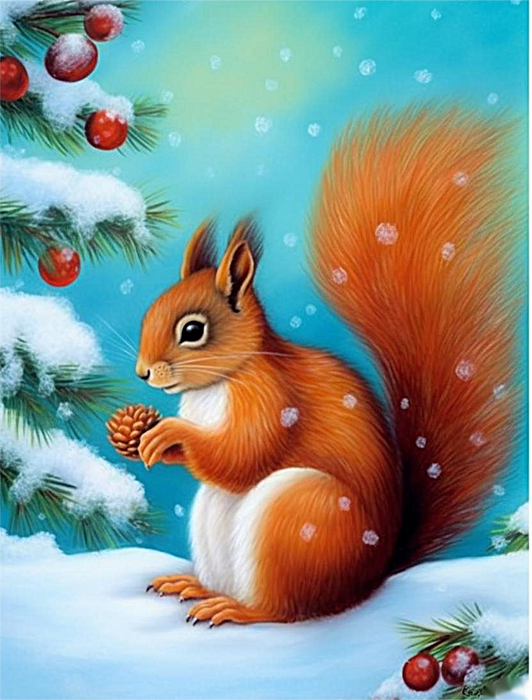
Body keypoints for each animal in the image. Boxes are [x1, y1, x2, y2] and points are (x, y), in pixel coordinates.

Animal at [135, 105, 520, 626]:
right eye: (150, 310)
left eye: (192, 330)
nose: (143, 372)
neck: (220, 382)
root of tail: (368, 580)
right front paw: (147, 439)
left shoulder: (274, 399)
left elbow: (243, 456)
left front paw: (170, 434)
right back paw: (193, 585)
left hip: (299, 514)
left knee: (285, 611)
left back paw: (237, 609)